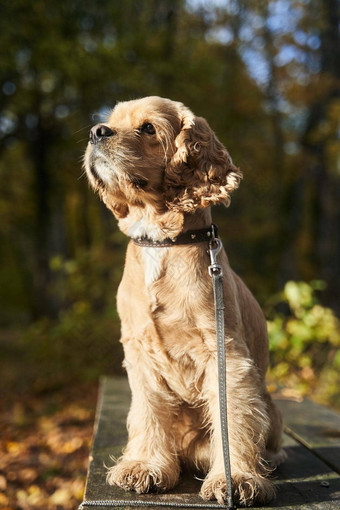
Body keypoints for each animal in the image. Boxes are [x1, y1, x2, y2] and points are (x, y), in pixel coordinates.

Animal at [83, 95, 286, 506]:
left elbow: (232, 416)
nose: (96, 131)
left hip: (271, 409)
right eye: (110, 120)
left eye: (148, 128)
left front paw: (236, 479)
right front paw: (145, 465)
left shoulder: (225, 352)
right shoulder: (140, 352)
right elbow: (147, 412)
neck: (160, 242)